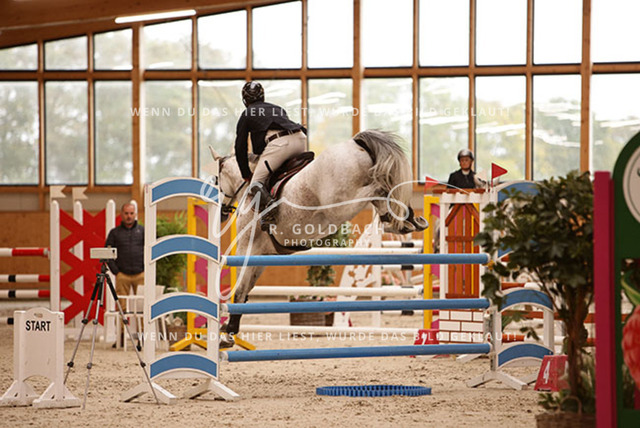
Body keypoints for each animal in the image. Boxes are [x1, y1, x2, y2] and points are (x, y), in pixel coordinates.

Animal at [209, 130, 428, 340]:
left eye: (216, 180)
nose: (222, 214)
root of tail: (355, 142)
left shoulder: (248, 248)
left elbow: (239, 291)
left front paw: (228, 334)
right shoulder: (262, 255)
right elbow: (246, 290)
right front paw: (229, 329)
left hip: (342, 202)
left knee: (378, 188)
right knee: (384, 196)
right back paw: (408, 221)